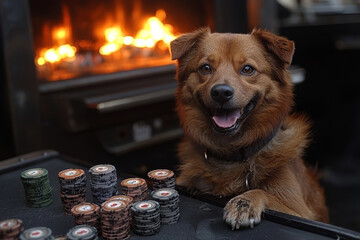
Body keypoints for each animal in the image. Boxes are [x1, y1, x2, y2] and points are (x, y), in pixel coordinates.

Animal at [170, 28, 328, 229]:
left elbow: (263, 192)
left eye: (247, 69)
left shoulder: (300, 212)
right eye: (205, 68)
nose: (221, 92)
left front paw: (243, 202)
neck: (230, 157)